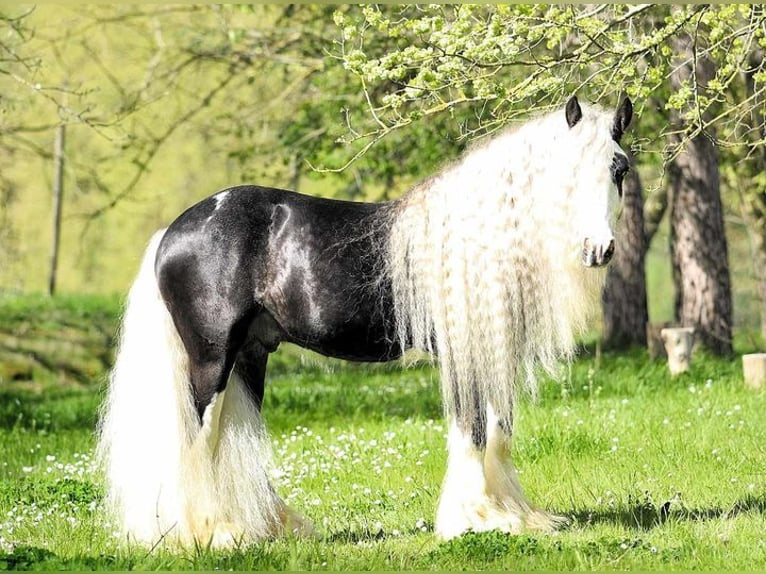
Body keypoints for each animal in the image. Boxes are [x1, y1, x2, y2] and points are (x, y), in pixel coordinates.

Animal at [96, 97, 636, 552]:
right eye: (567, 173)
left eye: (619, 169)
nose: (599, 249)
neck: (480, 238)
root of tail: (175, 229)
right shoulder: (464, 352)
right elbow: (474, 432)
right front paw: (471, 521)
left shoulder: (495, 350)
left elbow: (498, 432)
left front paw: (512, 517)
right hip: (211, 361)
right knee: (197, 443)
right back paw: (212, 535)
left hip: (248, 358)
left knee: (230, 440)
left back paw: (266, 529)